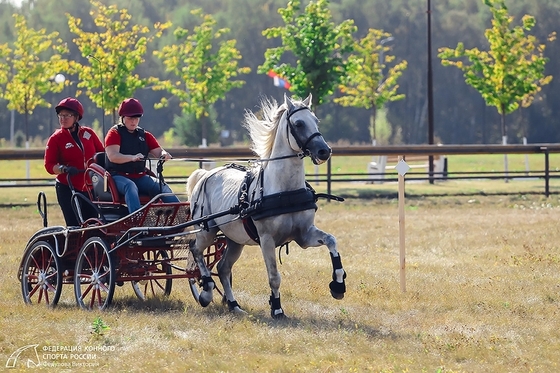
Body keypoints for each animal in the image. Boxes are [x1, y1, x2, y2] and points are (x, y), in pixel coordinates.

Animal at [188, 93, 346, 316]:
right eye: (298, 123)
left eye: (316, 120)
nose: (324, 151)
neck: (284, 191)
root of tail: (206, 174)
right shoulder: (267, 239)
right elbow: (274, 276)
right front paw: (277, 309)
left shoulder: (304, 235)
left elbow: (332, 241)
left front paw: (338, 284)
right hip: (206, 231)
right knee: (196, 250)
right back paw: (206, 291)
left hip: (234, 239)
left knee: (223, 267)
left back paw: (234, 305)